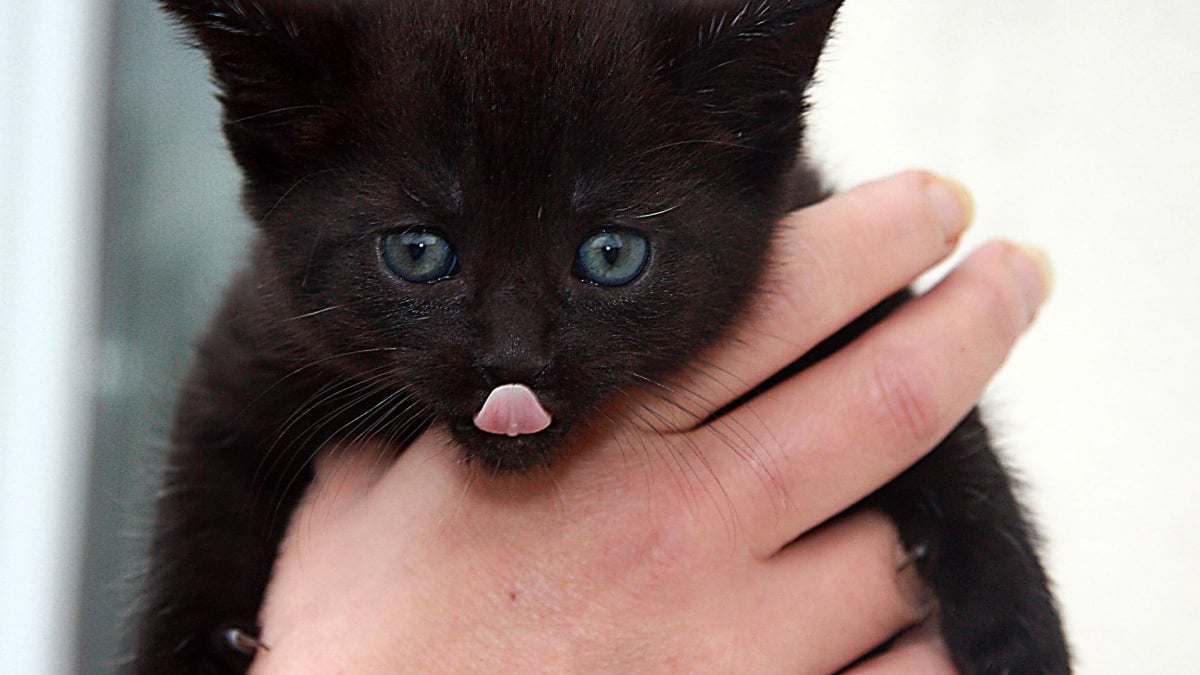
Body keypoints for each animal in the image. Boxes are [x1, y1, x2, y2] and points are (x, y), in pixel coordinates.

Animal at [138, 2, 1070, 667]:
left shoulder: (825, 256)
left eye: (612, 254)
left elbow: (953, 441)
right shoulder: (253, 349)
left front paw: (1018, 630)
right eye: (417, 251)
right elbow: (199, 508)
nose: (512, 360)